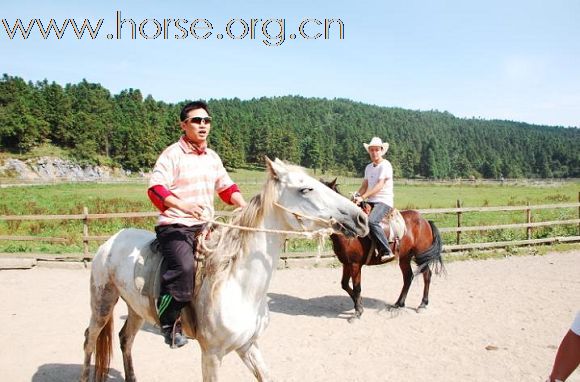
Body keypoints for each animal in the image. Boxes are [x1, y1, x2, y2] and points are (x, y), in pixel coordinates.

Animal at [80, 157, 370, 382]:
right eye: (305, 189)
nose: (360, 218)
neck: (239, 285)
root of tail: (111, 241)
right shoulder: (211, 355)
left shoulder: (248, 346)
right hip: (102, 303)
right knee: (89, 340)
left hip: (136, 309)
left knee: (125, 339)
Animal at [322, 179, 444, 320]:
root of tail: (425, 221)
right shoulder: (346, 263)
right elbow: (345, 285)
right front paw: (360, 304)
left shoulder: (355, 264)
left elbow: (357, 287)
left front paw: (358, 311)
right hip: (404, 258)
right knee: (408, 277)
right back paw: (398, 304)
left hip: (421, 256)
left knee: (427, 275)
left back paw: (422, 304)